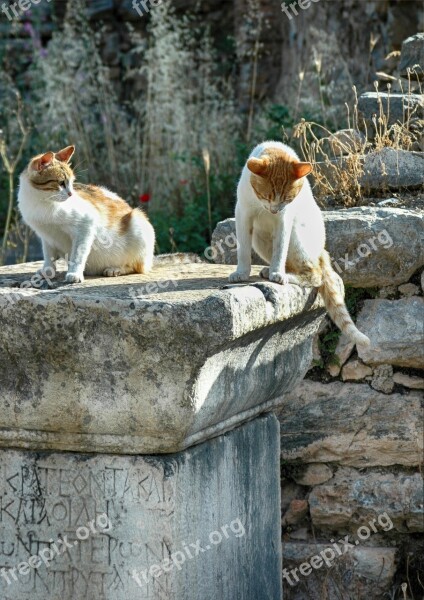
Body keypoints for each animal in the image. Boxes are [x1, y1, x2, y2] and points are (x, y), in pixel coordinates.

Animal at [18, 146, 155, 284]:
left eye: (72, 182)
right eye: (61, 183)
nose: (71, 194)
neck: (41, 202)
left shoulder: (86, 225)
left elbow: (78, 255)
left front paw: (74, 273)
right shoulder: (46, 237)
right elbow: (48, 256)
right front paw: (47, 271)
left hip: (138, 221)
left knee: (136, 266)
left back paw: (116, 269)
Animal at [229, 141, 372, 346]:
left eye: (288, 199)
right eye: (266, 196)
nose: (274, 210)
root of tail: (322, 252)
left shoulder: (284, 219)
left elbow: (280, 251)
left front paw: (277, 273)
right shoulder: (243, 214)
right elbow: (243, 251)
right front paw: (241, 273)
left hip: (297, 235)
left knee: (315, 275)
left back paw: (286, 276)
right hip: (258, 236)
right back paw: (270, 271)